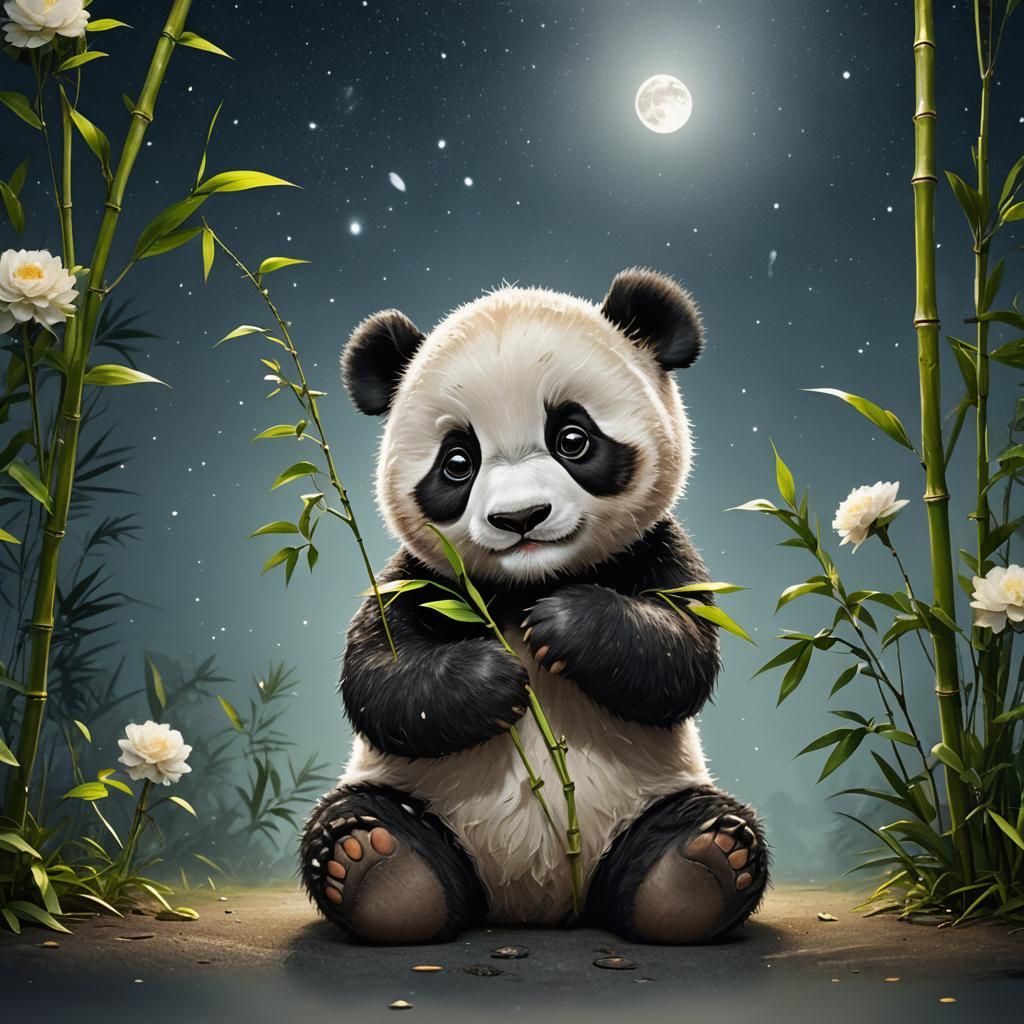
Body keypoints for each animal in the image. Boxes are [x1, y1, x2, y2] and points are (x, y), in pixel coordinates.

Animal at [300, 267, 768, 945]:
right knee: (364, 816)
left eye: (573, 438)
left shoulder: (657, 550)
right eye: (458, 461)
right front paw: (498, 677)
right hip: (409, 791)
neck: (526, 582)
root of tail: (533, 904)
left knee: (690, 826)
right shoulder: (420, 579)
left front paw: (563, 625)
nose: (520, 517)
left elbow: (681, 653)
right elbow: (379, 675)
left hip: (653, 794)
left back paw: (699, 869)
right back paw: (375, 867)